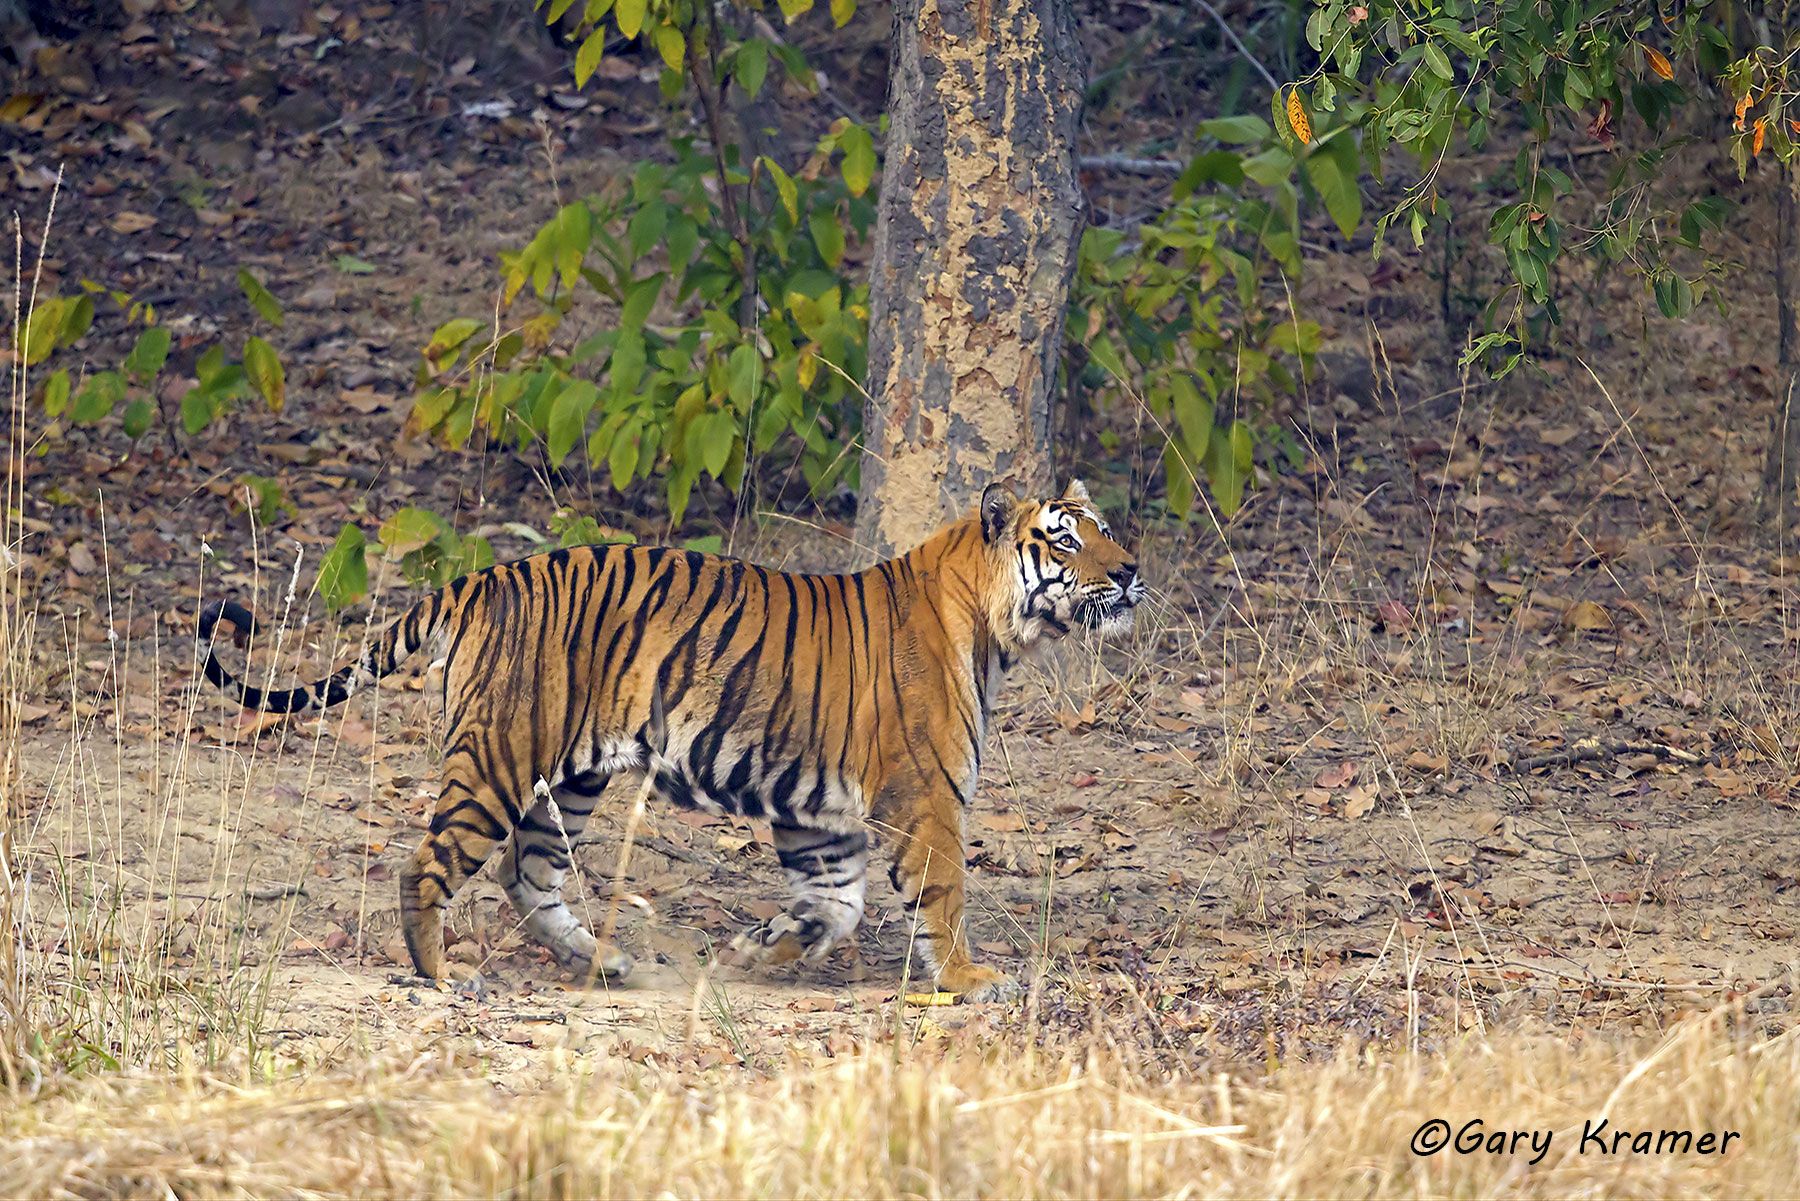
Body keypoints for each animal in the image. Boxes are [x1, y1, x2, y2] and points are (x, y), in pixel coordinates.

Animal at [197, 479, 1143, 1001]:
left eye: (1106, 529)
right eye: (1066, 538)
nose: (1133, 571)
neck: (995, 624)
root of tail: (481, 577)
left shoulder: (818, 809)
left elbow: (837, 900)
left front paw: (762, 948)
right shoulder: (927, 796)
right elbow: (941, 895)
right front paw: (967, 980)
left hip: (570, 778)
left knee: (526, 874)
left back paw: (604, 958)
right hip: (499, 757)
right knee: (428, 865)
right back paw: (443, 975)